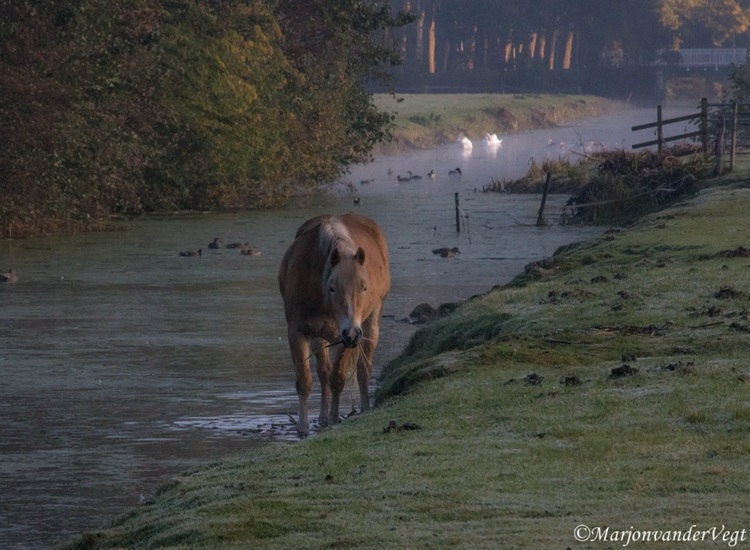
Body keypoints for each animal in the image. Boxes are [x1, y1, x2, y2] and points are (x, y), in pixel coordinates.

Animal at [278, 213, 391, 435]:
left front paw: (334, 418)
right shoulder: (297, 332)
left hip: (370, 324)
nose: (353, 333)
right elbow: (305, 380)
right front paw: (304, 427)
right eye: (332, 287)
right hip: (319, 335)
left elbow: (337, 377)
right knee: (323, 372)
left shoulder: (343, 337)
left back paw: (364, 408)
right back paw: (321, 417)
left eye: (364, 287)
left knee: (363, 370)